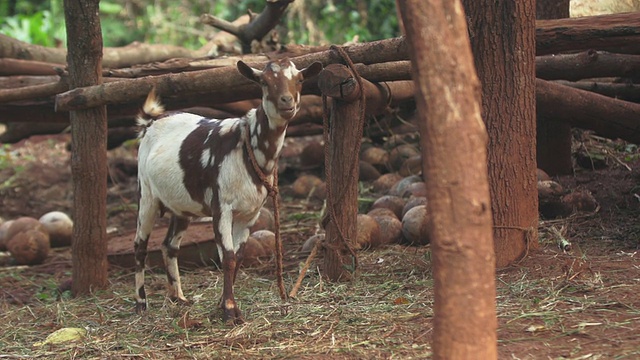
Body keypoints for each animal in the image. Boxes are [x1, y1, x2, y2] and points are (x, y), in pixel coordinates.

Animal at [132, 57, 322, 324]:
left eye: (301, 79)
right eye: (263, 81)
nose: (287, 101)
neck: (247, 146)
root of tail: (150, 123)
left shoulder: (250, 213)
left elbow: (238, 256)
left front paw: (223, 305)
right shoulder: (221, 206)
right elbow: (228, 256)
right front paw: (230, 311)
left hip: (181, 206)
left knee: (169, 245)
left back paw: (178, 297)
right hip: (146, 194)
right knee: (140, 246)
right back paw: (141, 303)